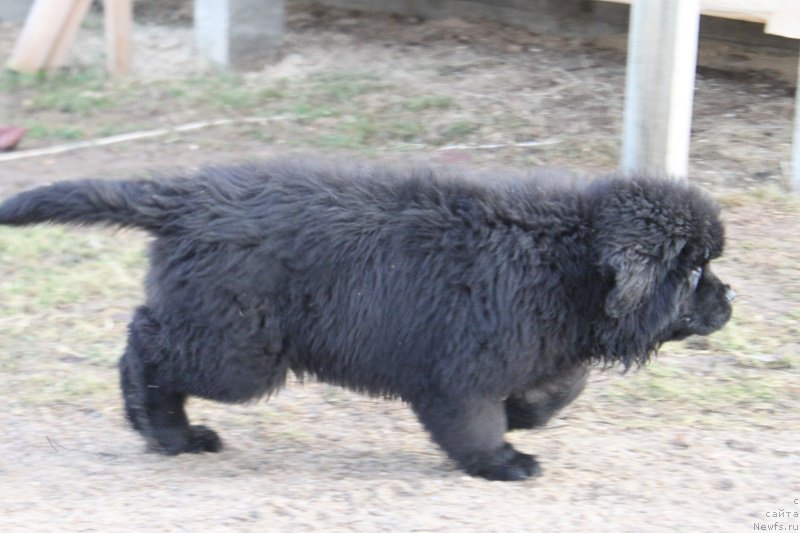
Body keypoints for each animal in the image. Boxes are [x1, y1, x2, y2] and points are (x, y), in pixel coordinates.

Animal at [0, 158, 736, 478]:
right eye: (693, 273)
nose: (731, 302)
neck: (565, 256)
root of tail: (186, 196)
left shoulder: (538, 346)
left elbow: (561, 386)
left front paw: (527, 414)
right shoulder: (459, 374)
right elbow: (476, 425)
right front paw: (504, 459)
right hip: (239, 348)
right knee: (143, 344)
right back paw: (168, 433)